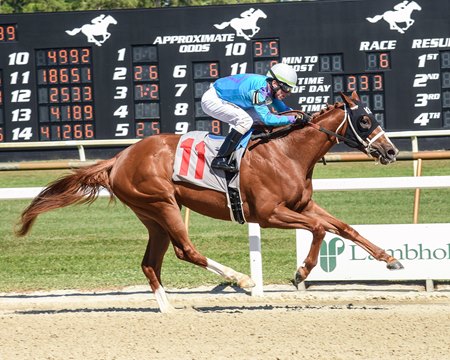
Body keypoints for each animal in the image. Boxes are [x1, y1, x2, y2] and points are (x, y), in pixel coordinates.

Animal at [15, 92, 402, 312]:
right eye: (364, 119)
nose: (391, 151)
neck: (286, 153)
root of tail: (119, 158)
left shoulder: (301, 205)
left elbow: (344, 227)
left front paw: (390, 259)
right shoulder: (269, 213)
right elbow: (320, 229)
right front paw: (301, 272)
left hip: (151, 215)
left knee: (150, 263)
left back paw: (169, 310)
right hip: (161, 204)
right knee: (186, 250)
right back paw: (240, 279)